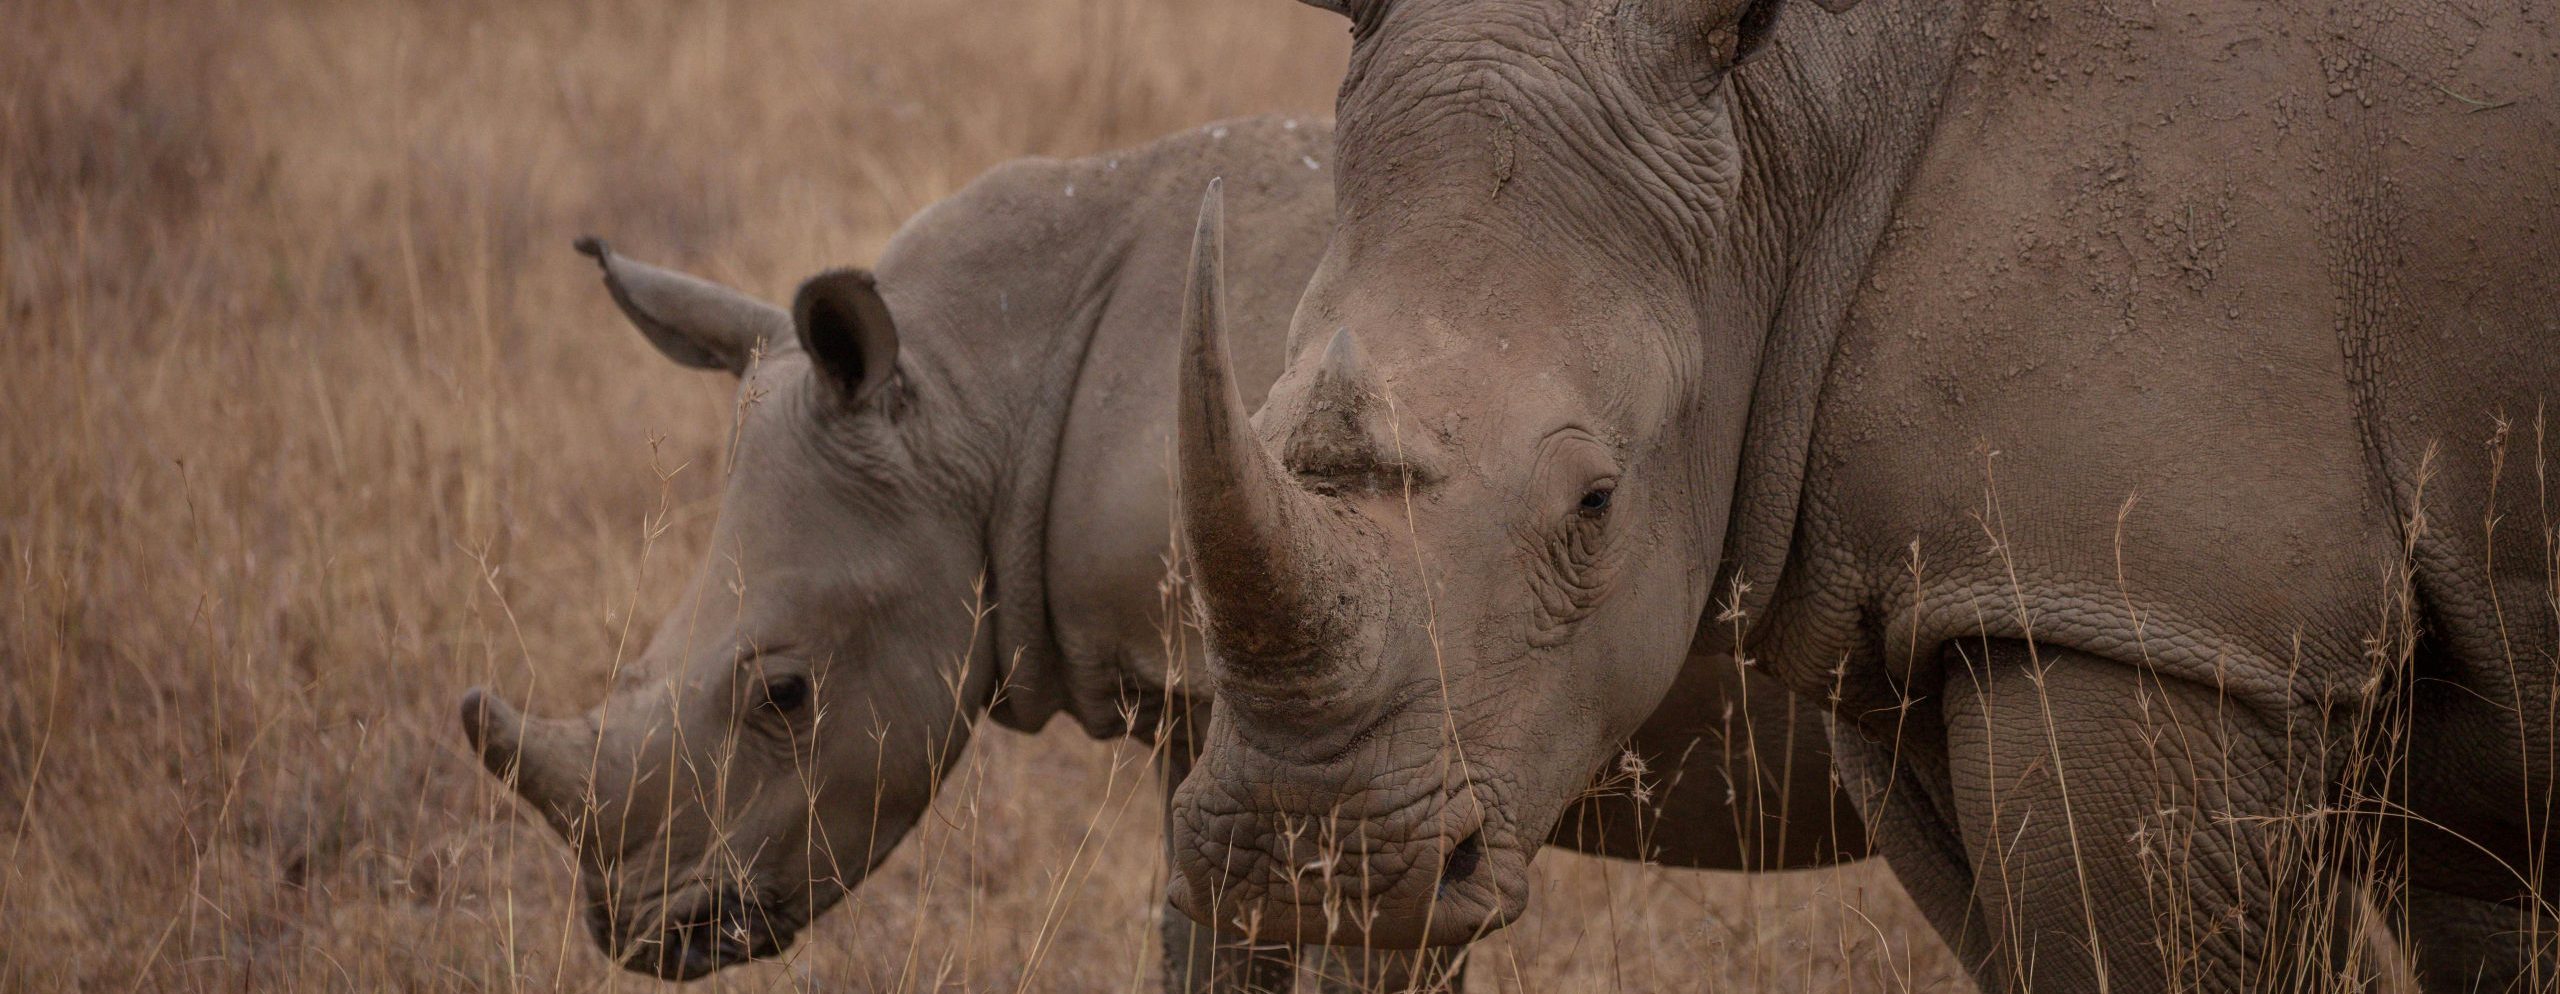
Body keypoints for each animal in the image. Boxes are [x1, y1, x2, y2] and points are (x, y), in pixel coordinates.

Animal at [458, 116, 1863, 990]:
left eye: (786, 695)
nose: (635, 927)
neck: (975, 399)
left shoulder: (1380, 740)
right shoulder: (1240, 722)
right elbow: (1203, 945)